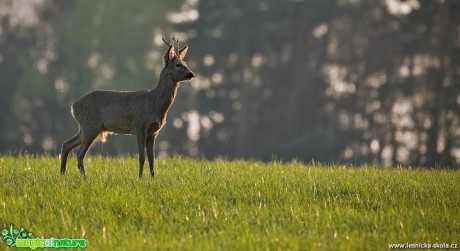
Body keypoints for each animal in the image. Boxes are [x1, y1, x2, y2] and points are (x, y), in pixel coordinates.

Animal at [59, 36, 194, 178]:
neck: (155, 104)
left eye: (185, 63)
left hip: (84, 128)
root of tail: (73, 106)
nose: (191, 74)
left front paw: (153, 178)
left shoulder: (153, 132)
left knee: (66, 144)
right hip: (91, 126)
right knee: (80, 153)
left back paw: (62, 174)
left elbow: (152, 159)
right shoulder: (140, 127)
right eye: (178, 65)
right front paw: (139, 178)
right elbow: (142, 157)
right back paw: (85, 178)